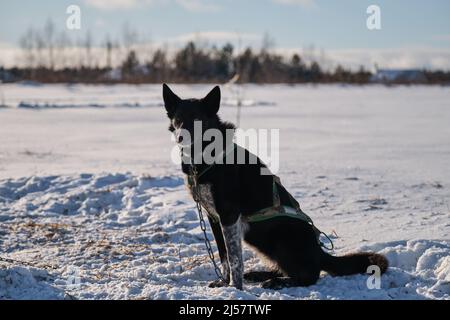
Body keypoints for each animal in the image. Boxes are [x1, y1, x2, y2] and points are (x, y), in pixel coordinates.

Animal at [163, 83, 388, 290]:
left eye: (197, 119)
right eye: (178, 119)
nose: (181, 137)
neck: (204, 157)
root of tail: (319, 252)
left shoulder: (229, 215)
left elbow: (234, 258)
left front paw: (235, 288)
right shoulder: (214, 218)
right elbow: (224, 255)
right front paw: (223, 283)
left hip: (281, 239)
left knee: (308, 276)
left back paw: (277, 282)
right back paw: (260, 275)